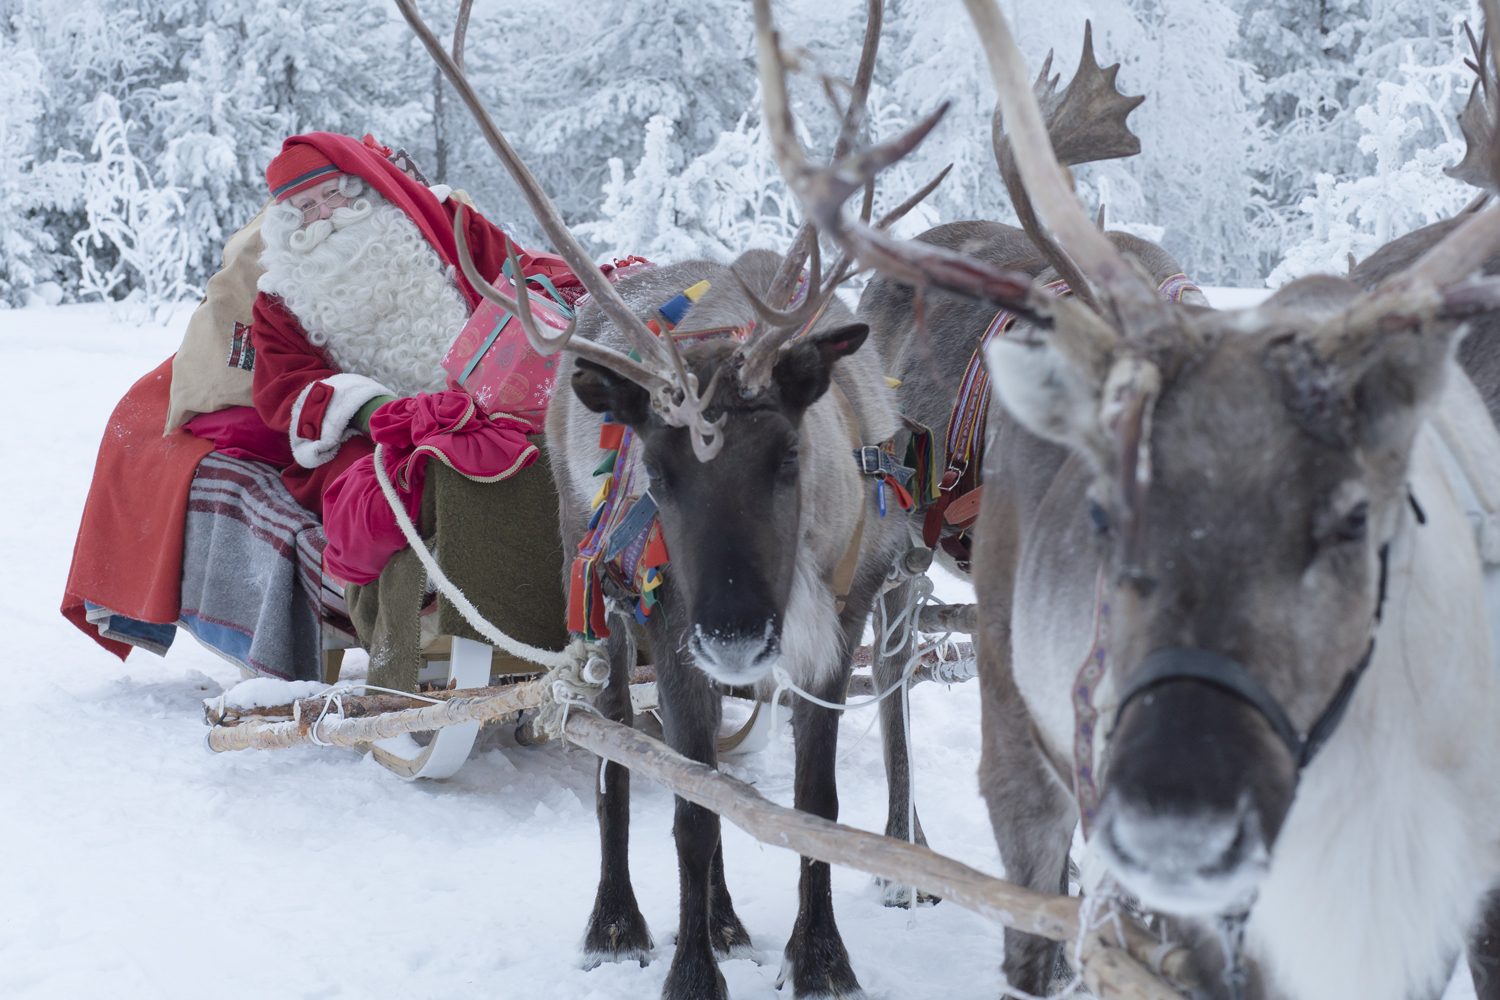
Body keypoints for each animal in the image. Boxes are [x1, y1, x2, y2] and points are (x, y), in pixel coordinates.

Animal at [396, 2, 922, 997]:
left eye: (788, 455)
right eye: (660, 472)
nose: (736, 629)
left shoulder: (841, 626)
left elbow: (816, 803)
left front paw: (819, 956)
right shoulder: (674, 619)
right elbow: (688, 807)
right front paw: (690, 973)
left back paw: (723, 919)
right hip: (598, 588)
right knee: (620, 753)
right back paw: (620, 919)